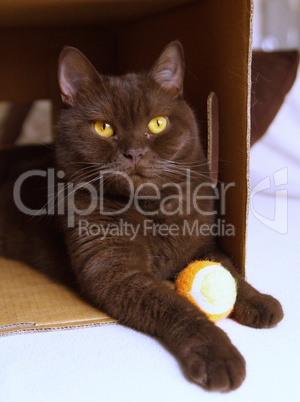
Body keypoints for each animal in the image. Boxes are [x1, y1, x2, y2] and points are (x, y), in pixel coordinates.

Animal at [0, 42, 284, 392]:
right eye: (104, 127)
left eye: (157, 124)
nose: (134, 152)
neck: (149, 208)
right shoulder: (116, 271)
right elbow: (176, 306)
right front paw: (218, 356)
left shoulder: (201, 244)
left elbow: (230, 270)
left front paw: (262, 303)